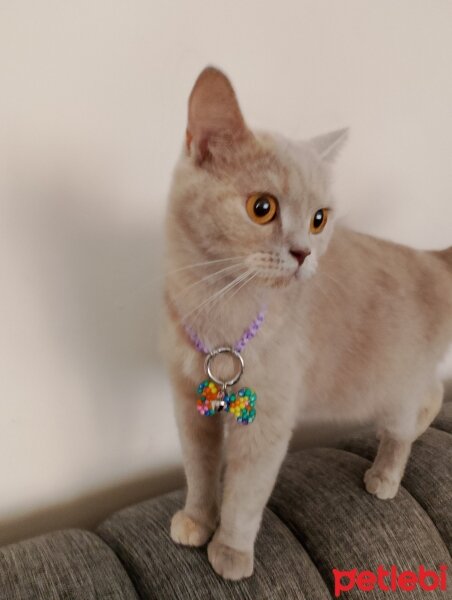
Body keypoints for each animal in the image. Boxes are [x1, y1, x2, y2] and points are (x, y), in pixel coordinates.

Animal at [163, 67, 452, 580]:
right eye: (262, 207)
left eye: (319, 219)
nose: (304, 253)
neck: (219, 305)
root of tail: (432, 258)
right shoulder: (188, 400)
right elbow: (199, 468)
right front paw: (196, 521)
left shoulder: (267, 418)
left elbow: (245, 493)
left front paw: (230, 553)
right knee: (433, 394)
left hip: (392, 383)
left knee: (404, 425)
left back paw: (384, 476)